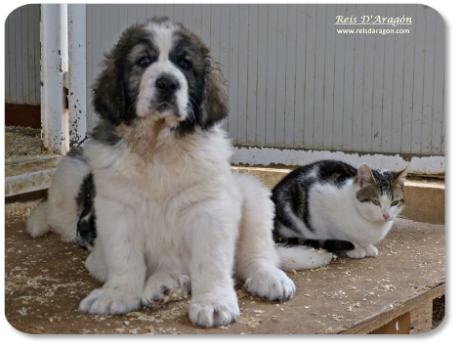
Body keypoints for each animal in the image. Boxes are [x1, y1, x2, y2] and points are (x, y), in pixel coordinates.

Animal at [27, 16, 332, 328]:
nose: (167, 83)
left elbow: (211, 262)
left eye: (185, 63)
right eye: (144, 60)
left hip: (253, 195)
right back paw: (165, 283)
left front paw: (214, 303)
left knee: (256, 256)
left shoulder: (211, 209)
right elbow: (125, 257)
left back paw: (268, 278)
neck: (158, 147)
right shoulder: (116, 210)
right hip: (99, 257)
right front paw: (119, 295)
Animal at [272, 160, 408, 258]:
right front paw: (356, 248)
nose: (386, 215)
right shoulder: (319, 202)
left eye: (394, 203)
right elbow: (341, 234)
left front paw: (367, 247)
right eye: (375, 202)